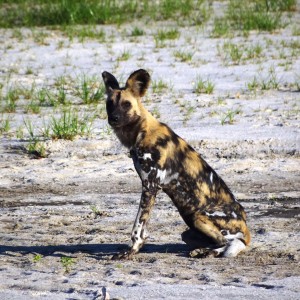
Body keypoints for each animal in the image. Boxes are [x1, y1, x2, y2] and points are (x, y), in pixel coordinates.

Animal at [102, 69, 250, 258]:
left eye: (126, 104)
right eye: (110, 103)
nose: (113, 118)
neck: (140, 132)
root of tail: (246, 230)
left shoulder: (150, 186)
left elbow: (138, 227)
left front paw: (131, 250)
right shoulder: (149, 187)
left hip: (199, 216)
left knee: (227, 242)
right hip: (187, 231)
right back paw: (201, 250)